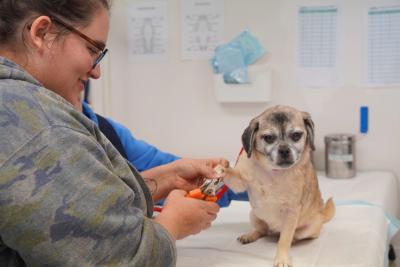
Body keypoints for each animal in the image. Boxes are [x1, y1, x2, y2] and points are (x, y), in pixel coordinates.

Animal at [217, 105, 332, 266]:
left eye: (296, 135)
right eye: (269, 138)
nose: (284, 150)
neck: (273, 172)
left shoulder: (291, 212)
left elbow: (284, 241)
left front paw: (282, 258)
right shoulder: (241, 183)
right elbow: (232, 176)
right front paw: (220, 169)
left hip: (309, 228)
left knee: (291, 236)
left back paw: (292, 240)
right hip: (254, 215)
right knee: (262, 231)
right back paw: (250, 235)